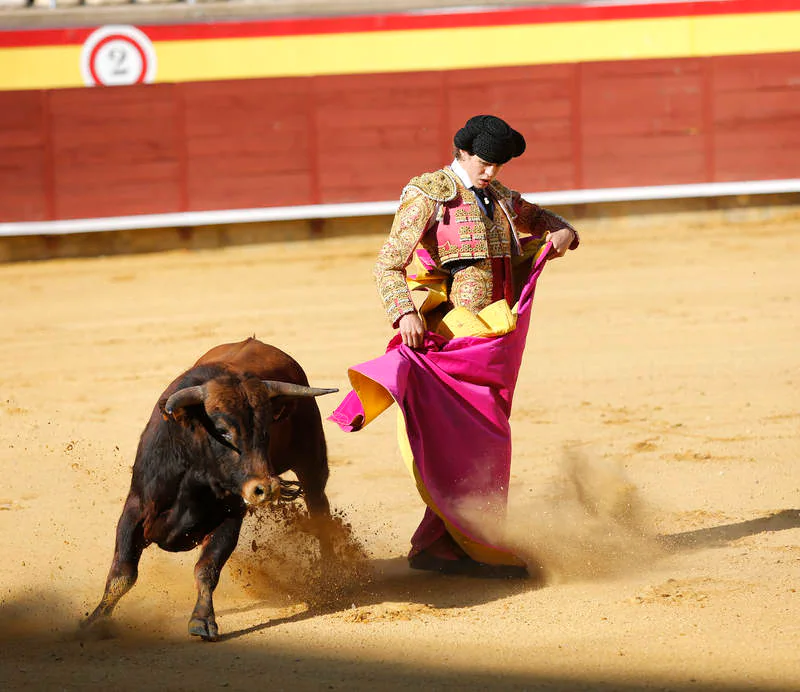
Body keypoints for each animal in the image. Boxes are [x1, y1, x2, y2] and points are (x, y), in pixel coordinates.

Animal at [83, 338, 338, 640]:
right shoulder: (135, 508)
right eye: (222, 429)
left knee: (320, 511)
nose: (265, 488)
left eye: (267, 430)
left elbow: (207, 568)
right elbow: (122, 572)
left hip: (313, 467)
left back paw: (330, 576)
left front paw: (202, 620)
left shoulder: (230, 516)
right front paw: (95, 619)